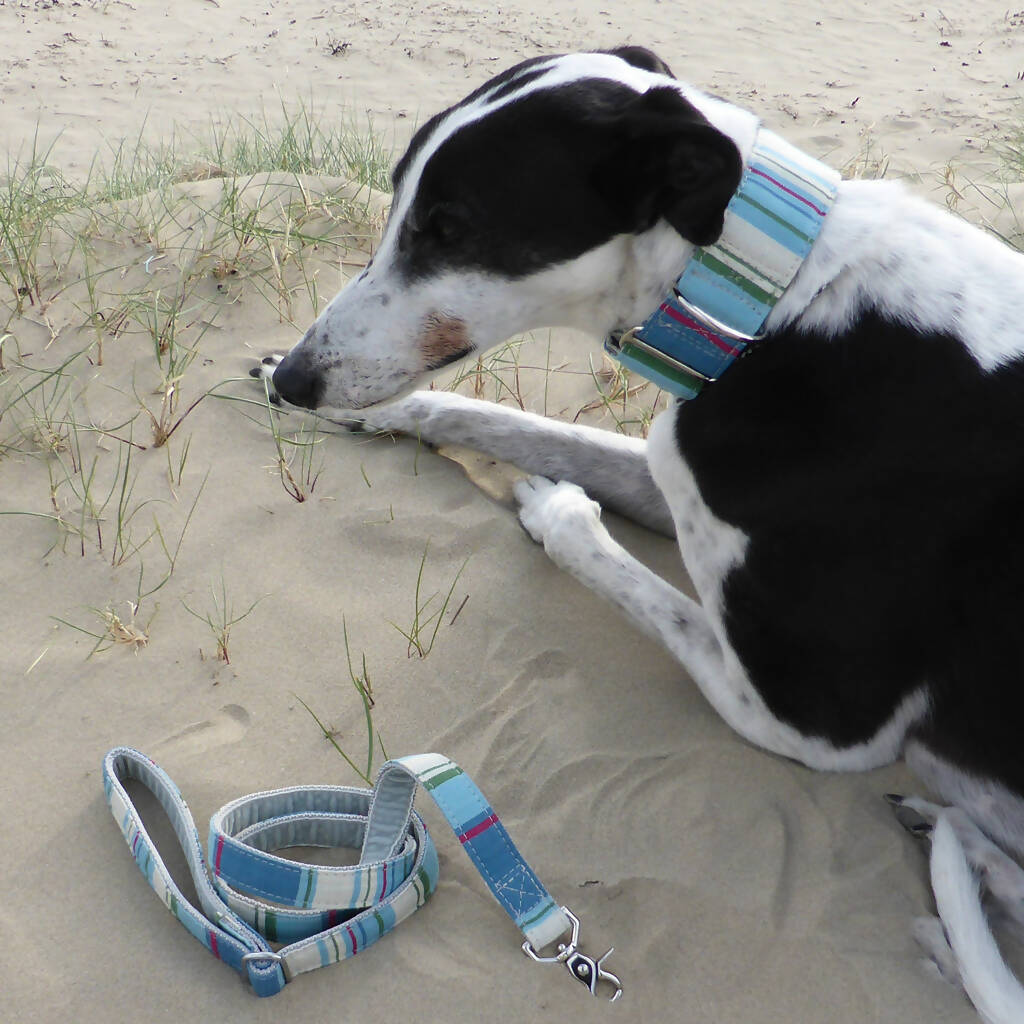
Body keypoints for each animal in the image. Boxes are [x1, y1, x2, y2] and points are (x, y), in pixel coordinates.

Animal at [260, 49, 1024, 1024]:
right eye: (396, 201)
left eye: (451, 228)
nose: (295, 377)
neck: (779, 304)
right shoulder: (676, 468)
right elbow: (516, 423)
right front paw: (387, 417)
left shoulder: (819, 724)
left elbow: (603, 550)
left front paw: (553, 510)